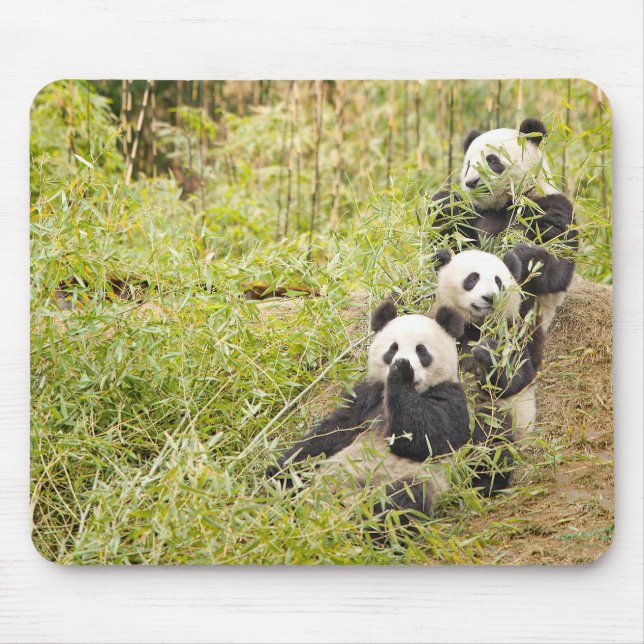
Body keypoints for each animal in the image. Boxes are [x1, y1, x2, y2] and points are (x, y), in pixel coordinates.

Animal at [267, 300, 479, 523]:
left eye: (421, 351)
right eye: (393, 348)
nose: (402, 362)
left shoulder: (450, 397)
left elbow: (429, 436)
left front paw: (401, 373)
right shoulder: (367, 397)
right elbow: (332, 431)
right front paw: (279, 465)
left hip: (409, 479)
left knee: (400, 504)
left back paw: (367, 520)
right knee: (296, 477)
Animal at [430, 117, 577, 330]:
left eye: (491, 160)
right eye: (468, 165)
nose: (471, 182)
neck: (504, 203)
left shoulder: (549, 205)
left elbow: (556, 263)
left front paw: (522, 254)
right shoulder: (476, 214)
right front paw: (445, 206)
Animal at [431, 248, 545, 439]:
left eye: (498, 281)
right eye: (473, 278)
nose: (490, 297)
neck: (476, 323)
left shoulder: (513, 331)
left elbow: (518, 376)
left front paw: (487, 353)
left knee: (491, 424)